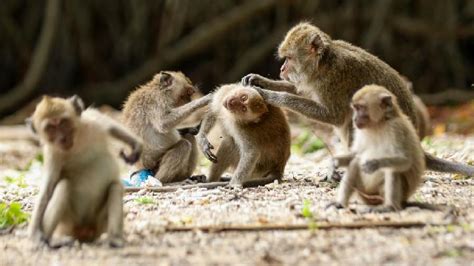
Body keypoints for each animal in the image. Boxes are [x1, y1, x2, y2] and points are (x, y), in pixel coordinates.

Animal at [27, 95, 143, 247]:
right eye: (51, 128)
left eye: (63, 123)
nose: (62, 138)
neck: (76, 143)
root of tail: (85, 231)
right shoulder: (53, 154)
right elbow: (47, 191)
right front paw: (35, 233)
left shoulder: (92, 122)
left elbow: (111, 127)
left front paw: (136, 144)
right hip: (68, 224)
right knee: (63, 185)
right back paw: (50, 240)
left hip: (99, 224)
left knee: (115, 187)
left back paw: (114, 238)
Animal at [244, 21, 474, 177]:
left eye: (289, 58)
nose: (282, 69)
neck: (324, 64)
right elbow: (302, 90)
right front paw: (260, 80)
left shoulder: (336, 78)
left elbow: (333, 116)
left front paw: (272, 96)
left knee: (352, 120)